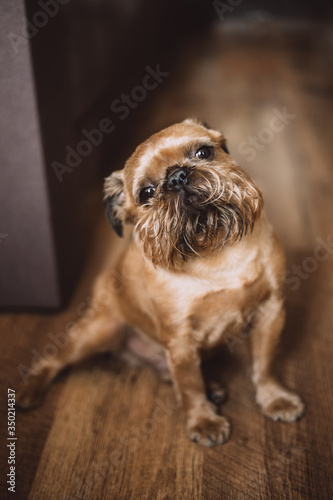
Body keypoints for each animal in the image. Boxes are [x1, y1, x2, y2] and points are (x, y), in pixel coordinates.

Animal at [17, 119, 304, 448]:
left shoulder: (271, 312)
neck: (214, 251)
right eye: (147, 193)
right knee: (54, 360)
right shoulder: (180, 340)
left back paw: (212, 386)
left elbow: (264, 363)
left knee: (168, 371)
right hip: (99, 330)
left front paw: (275, 399)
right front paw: (203, 421)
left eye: (204, 152)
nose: (177, 176)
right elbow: (190, 386)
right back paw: (30, 390)